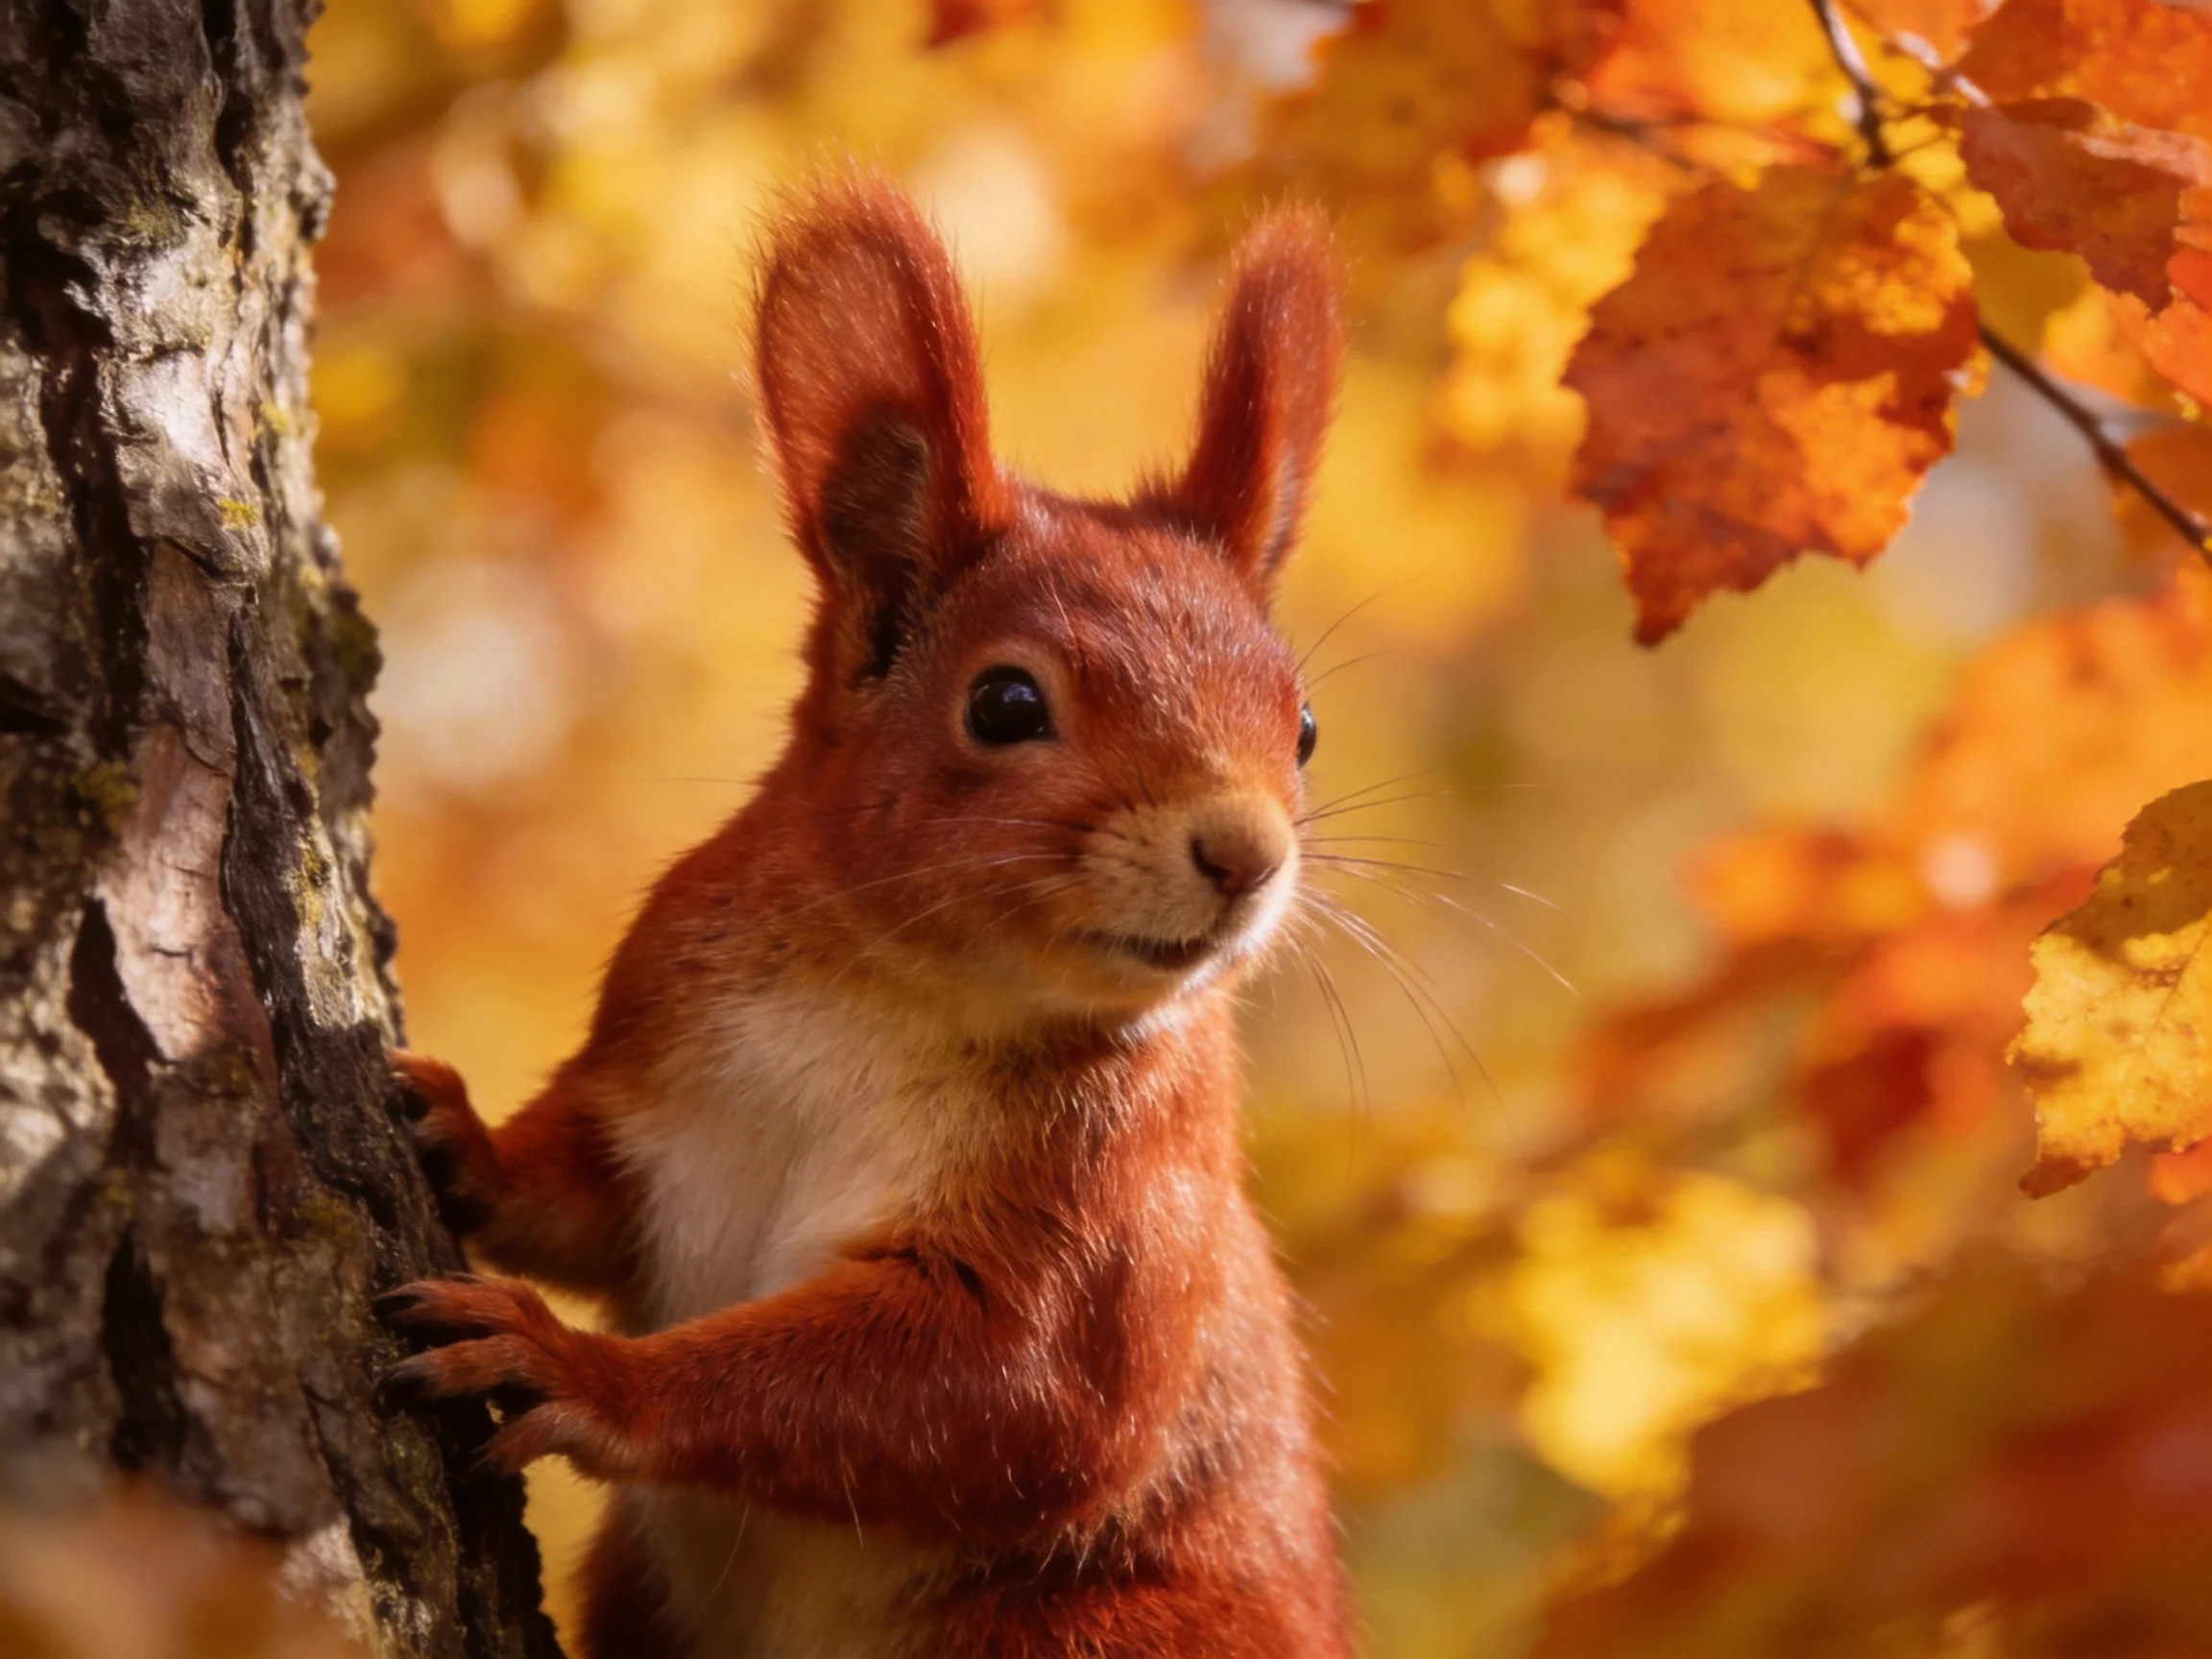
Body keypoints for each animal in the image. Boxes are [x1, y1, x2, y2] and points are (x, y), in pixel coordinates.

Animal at [382, 173, 1355, 1659]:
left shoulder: (1117, 1213)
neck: (888, 986)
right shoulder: (657, 1082)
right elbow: (582, 1197)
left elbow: (1008, 1393)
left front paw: (574, 1366)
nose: (1243, 855)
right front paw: (457, 1135)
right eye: (1004, 703)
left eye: (1301, 728)